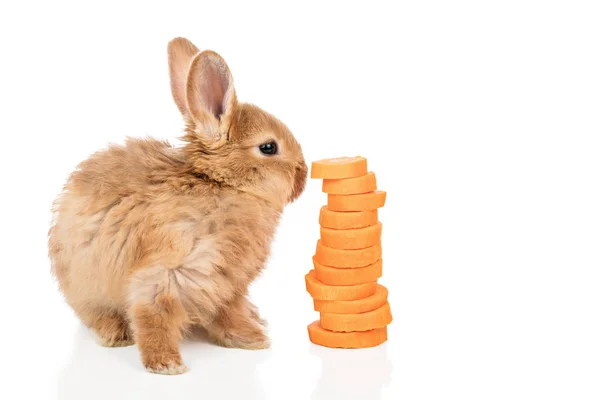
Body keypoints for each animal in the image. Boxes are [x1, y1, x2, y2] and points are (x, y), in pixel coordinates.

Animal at [47, 36, 308, 376]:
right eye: (268, 147)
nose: (304, 174)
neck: (220, 184)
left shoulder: (229, 285)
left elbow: (229, 312)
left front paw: (250, 339)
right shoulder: (165, 272)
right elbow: (154, 316)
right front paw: (166, 364)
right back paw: (114, 334)